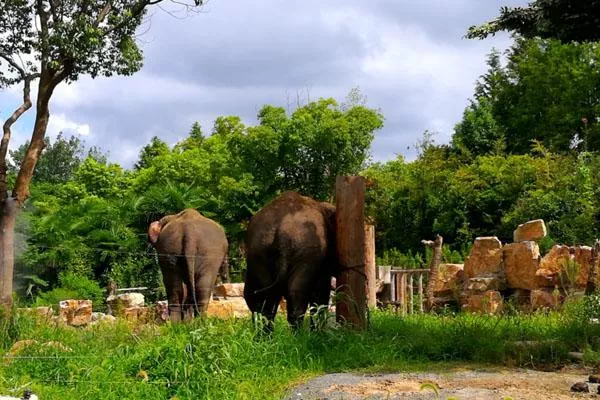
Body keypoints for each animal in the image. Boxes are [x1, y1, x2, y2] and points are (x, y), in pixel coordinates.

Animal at [244, 191, 338, 332]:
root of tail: (282, 231)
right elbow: (320, 292)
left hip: (259, 249)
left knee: (268, 298)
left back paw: (267, 335)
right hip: (306, 251)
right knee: (296, 293)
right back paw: (299, 335)